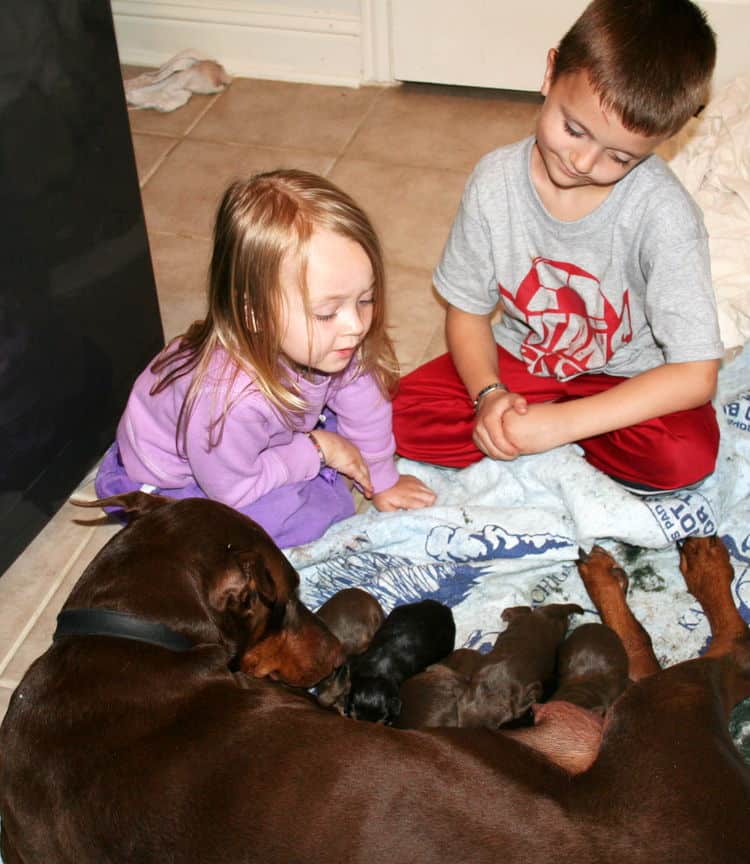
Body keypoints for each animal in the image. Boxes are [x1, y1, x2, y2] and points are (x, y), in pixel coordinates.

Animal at [1, 516, 750, 860]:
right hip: (665, 712)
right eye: (287, 595)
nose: (338, 652)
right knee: (712, 653)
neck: (124, 635)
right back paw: (668, 567)